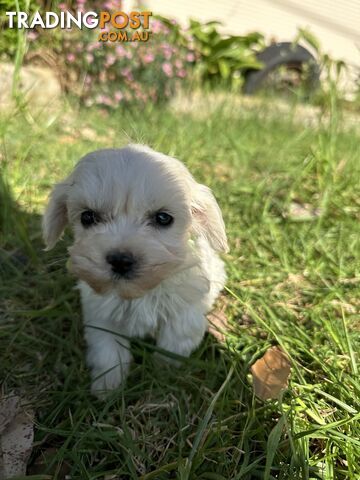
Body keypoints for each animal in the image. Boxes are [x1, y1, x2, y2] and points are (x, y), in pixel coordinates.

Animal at [43, 144, 228, 396]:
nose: (121, 260)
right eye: (87, 217)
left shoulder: (185, 310)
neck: (138, 293)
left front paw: (163, 374)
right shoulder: (100, 315)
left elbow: (175, 340)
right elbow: (108, 351)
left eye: (163, 218)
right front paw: (107, 388)